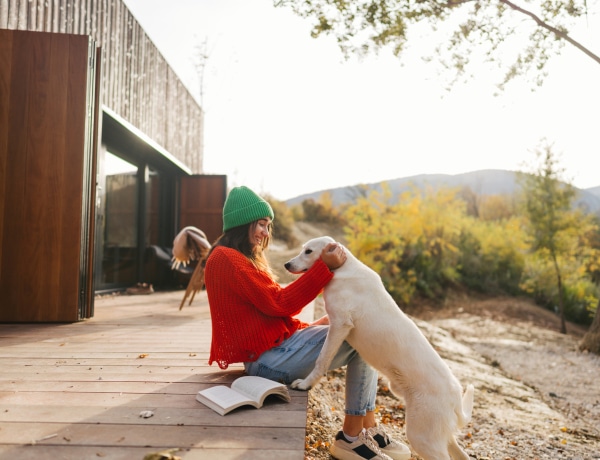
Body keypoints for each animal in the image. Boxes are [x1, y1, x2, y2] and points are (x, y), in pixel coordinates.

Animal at [284, 237, 476, 460]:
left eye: (308, 251)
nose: (286, 265)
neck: (342, 268)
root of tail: (455, 394)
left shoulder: (339, 325)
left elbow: (322, 359)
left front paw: (306, 384)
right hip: (437, 435)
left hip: (423, 438)